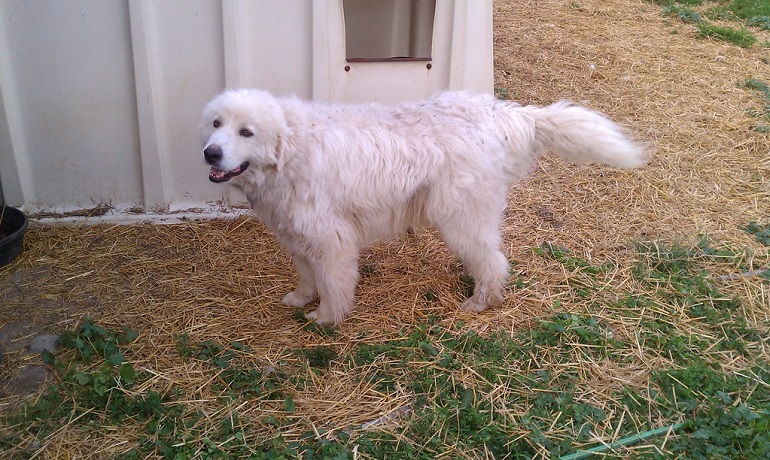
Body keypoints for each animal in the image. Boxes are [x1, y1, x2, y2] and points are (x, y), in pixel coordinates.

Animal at [196, 90, 640, 326]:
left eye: (246, 132)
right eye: (216, 124)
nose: (210, 154)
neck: (293, 149)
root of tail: (501, 115)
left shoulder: (331, 241)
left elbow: (334, 286)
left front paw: (326, 319)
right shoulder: (298, 235)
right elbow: (307, 277)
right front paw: (301, 298)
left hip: (461, 217)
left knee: (494, 262)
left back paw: (481, 301)